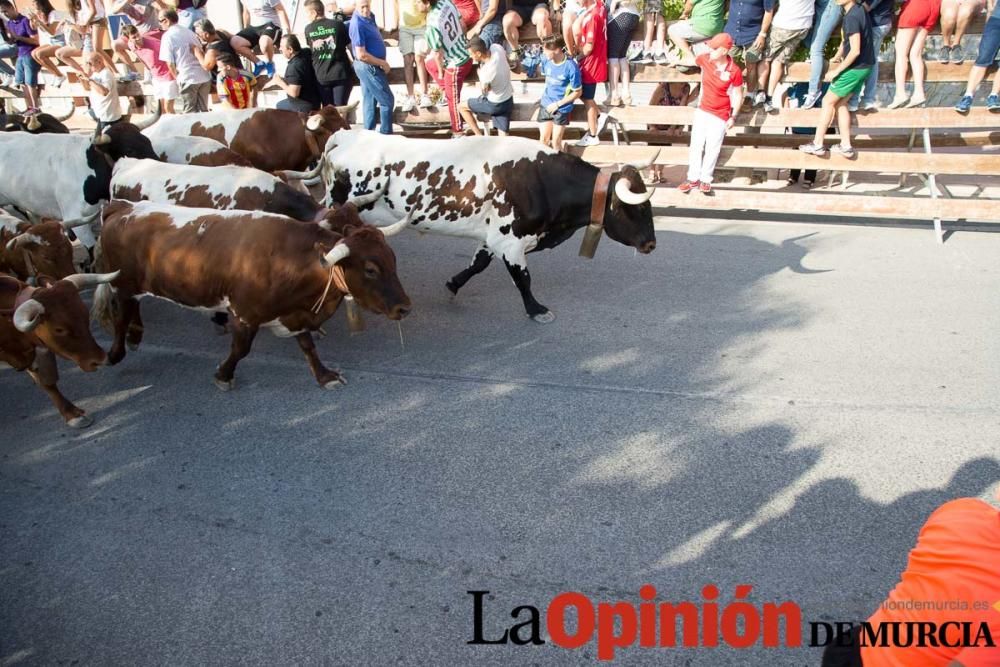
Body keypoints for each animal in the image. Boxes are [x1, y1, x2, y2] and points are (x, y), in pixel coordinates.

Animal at [0, 272, 119, 428]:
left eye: (85, 315)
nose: (100, 359)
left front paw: (73, 414)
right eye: (59, 329)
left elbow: (48, 383)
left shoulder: (37, 352)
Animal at [91, 202, 410, 392]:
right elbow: (240, 350)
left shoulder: (294, 315)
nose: (404, 308)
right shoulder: (245, 315)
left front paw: (324, 375)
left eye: (393, 258)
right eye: (370, 269)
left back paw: (135, 337)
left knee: (132, 309)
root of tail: (124, 208)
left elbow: (307, 346)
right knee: (120, 316)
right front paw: (223, 375)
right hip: (122, 283)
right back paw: (115, 352)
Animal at [296, 130, 656, 324]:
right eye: (635, 208)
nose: (651, 245)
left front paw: (452, 285)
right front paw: (536, 310)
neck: (541, 178)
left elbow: (478, 263)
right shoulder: (511, 240)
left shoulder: (494, 236)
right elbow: (523, 278)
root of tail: (349, 134)